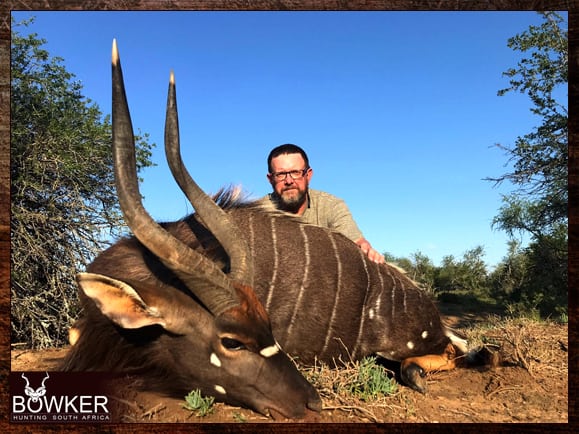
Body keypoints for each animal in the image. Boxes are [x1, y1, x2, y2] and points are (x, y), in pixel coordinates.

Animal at [62, 39, 472, 420]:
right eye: (232, 342)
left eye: (267, 328)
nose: (310, 402)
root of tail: (426, 304)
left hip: (407, 346)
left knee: (450, 352)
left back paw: (417, 373)